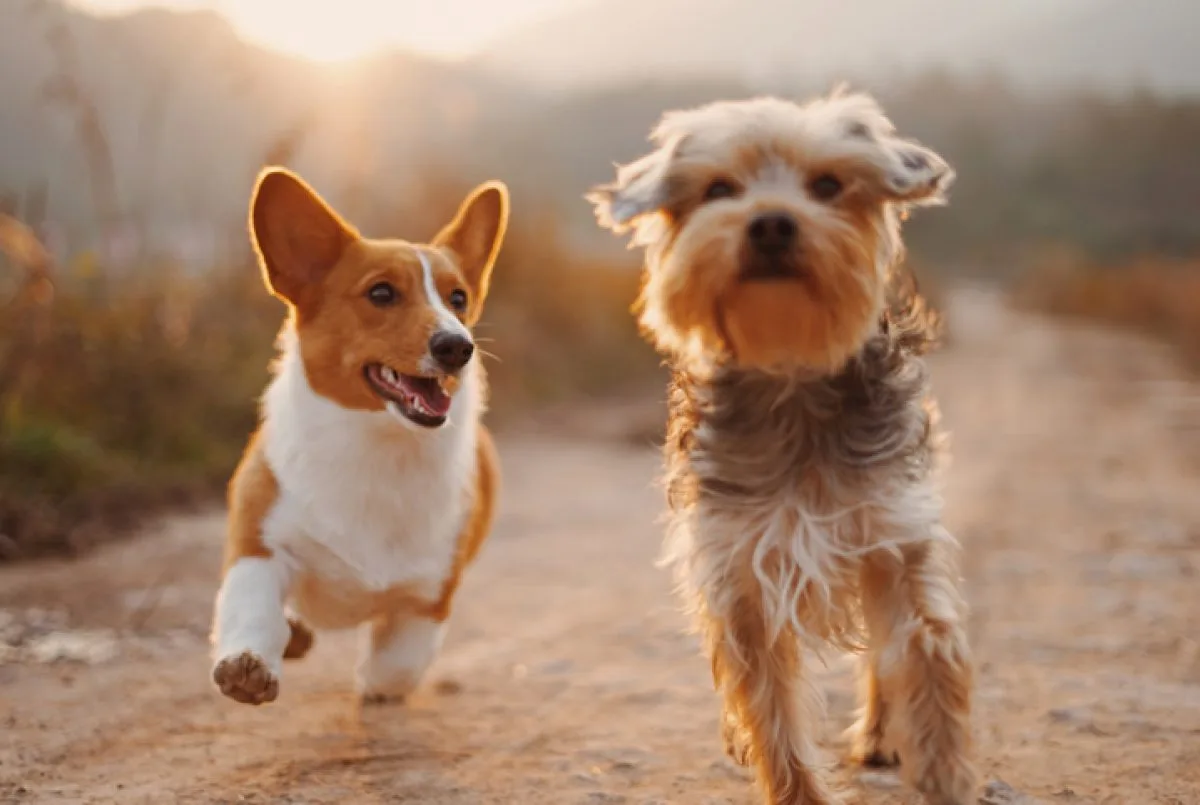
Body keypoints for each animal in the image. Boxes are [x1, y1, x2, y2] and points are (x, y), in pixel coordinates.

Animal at [210, 170, 506, 705]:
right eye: (382, 293)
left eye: (458, 299)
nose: (458, 346)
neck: (377, 445)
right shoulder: (259, 545)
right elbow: (252, 608)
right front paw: (248, 664)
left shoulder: (428, 597)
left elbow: (396, 667)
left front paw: (373, 683)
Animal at [588, 89, 974, 805]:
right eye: (719, 188)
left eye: (827, 185)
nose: (770, 223)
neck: (791, 371)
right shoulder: (739, 566)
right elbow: (769, 703)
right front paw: (796, 786)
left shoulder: (892, 531)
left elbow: (927, 642)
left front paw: (944, 766)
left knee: (881, 653)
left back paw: (882, 734)